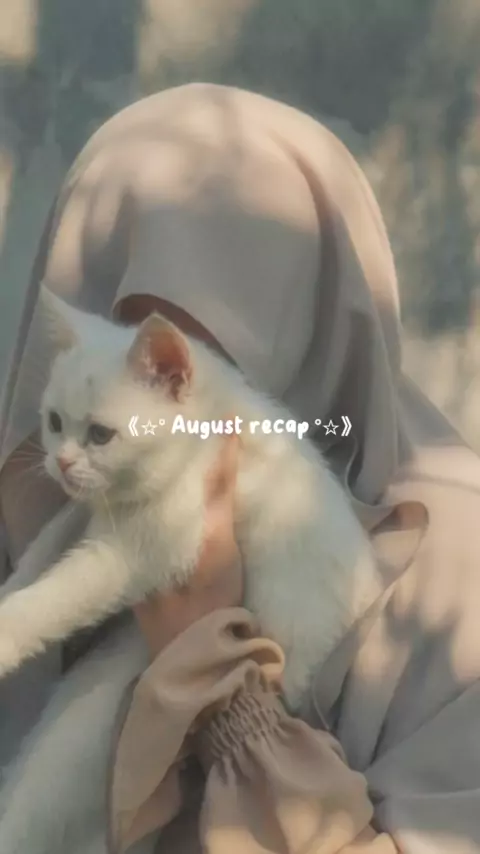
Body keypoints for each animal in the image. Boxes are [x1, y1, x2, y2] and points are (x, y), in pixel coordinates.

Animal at [0, 285, 379, 708]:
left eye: (100, 434)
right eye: (54, 422)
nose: (61, 462)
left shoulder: (144, 549)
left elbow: (62, 593)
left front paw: (7, 634)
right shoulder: (99, 508)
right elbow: (46, 544)